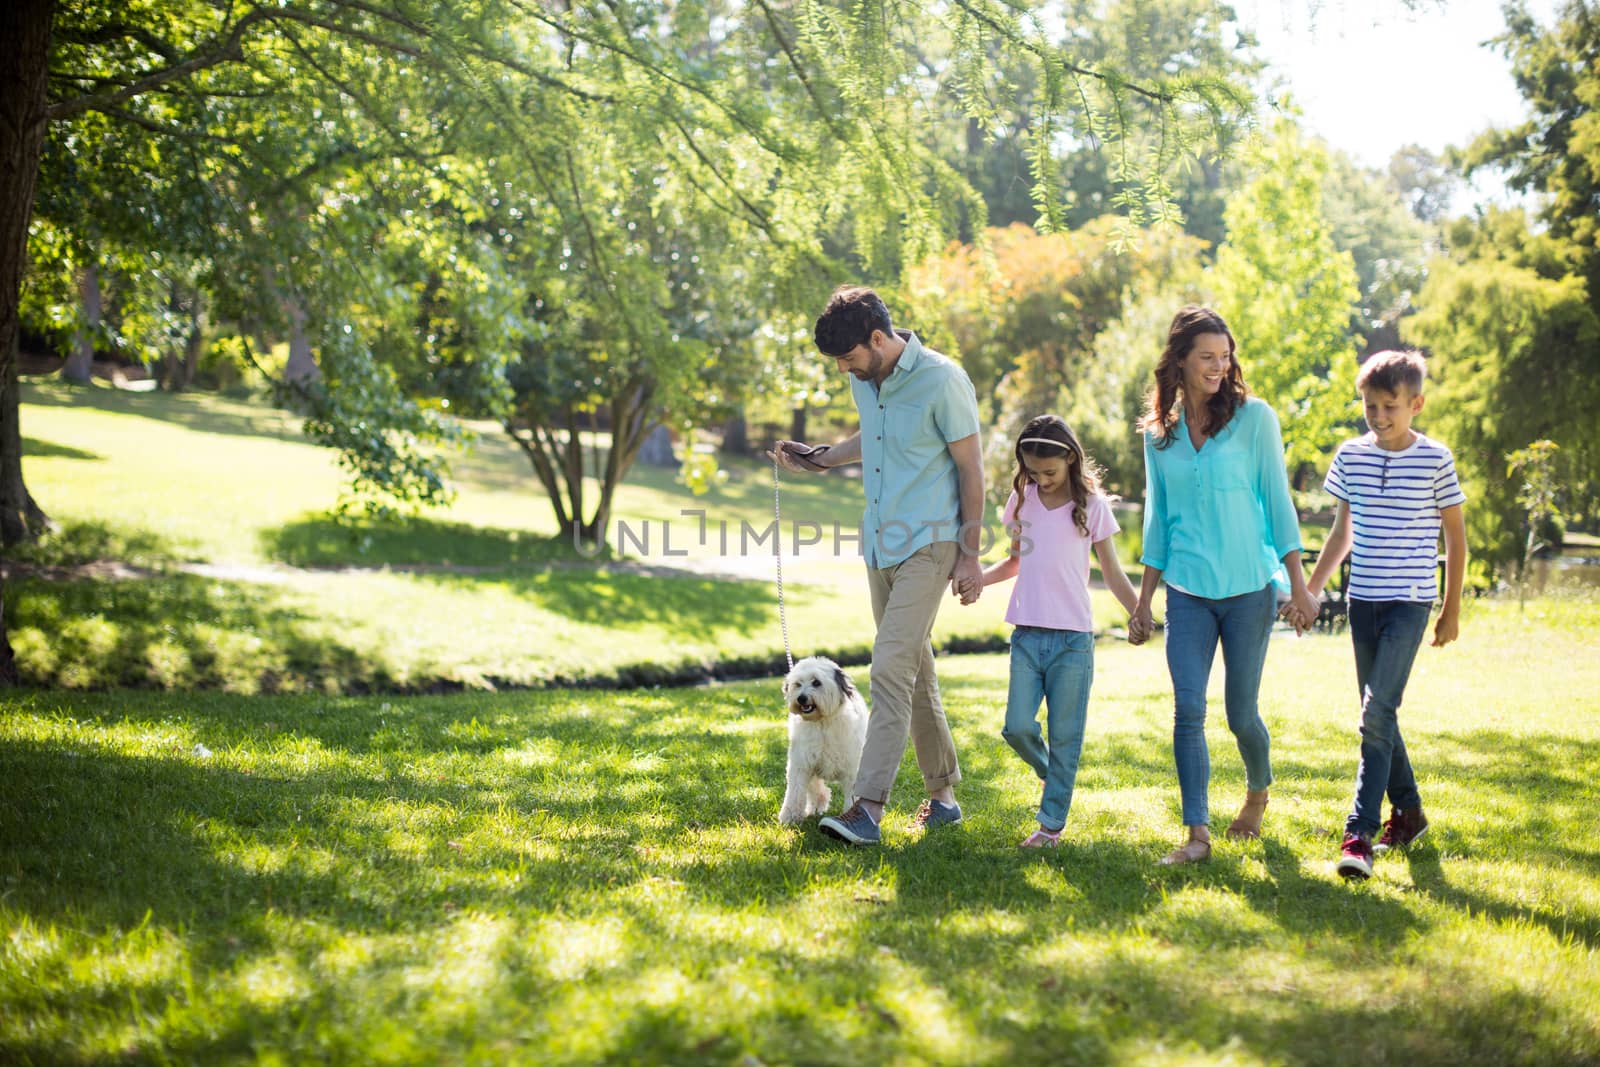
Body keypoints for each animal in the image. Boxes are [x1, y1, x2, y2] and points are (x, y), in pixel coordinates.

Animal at [777, 655, 870, 825]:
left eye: (816, 682)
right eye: (798, 684)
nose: (801, 698)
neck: (822, 722)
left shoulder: (852, 767)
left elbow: (852, 793)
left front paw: (851, 814)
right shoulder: (802, 763)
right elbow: (795, 791)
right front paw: (790, 817)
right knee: (815, 787)